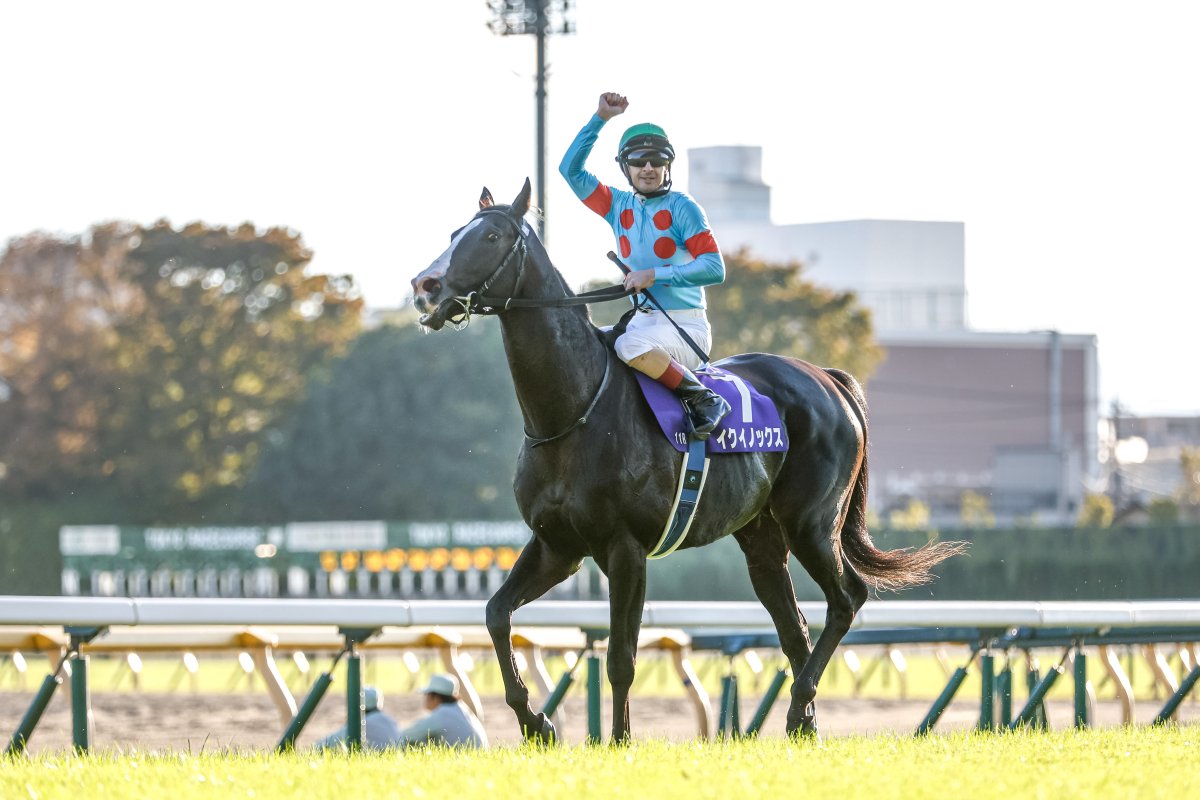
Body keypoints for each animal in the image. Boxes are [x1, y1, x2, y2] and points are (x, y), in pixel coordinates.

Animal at [411, 179, 964, 742]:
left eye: (492, 236)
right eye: (454, 233)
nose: (425, 286)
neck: (575, 409)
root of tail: (828, 379)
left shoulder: (625, 548)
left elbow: (621, 657)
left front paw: (618, 740)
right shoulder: (557, 546)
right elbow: (496, 613)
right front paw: (536, 721)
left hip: (811, 524)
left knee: (846, 599)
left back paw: (800, 706)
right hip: (762, 537)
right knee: (795, 628)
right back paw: (802, 721)